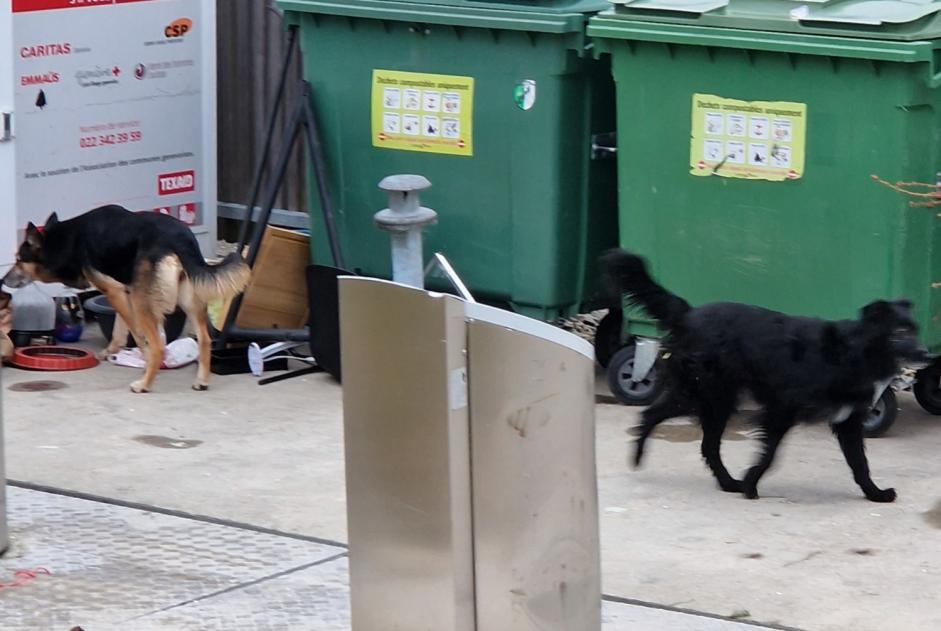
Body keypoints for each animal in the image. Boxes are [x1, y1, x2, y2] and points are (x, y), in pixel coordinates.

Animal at [1, 207, 250, 392]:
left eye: (19, 259)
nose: (3, 279)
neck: (70, 239)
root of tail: (180, 238)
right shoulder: (124, 291)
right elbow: (120, 328)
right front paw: (112, 350)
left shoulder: (115, 291)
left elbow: (137, 335)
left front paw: (144, 364)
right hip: (188, 297)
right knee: (205, 339)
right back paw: (201, 380)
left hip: (143, 302)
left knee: (158, 344)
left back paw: (144, 384)